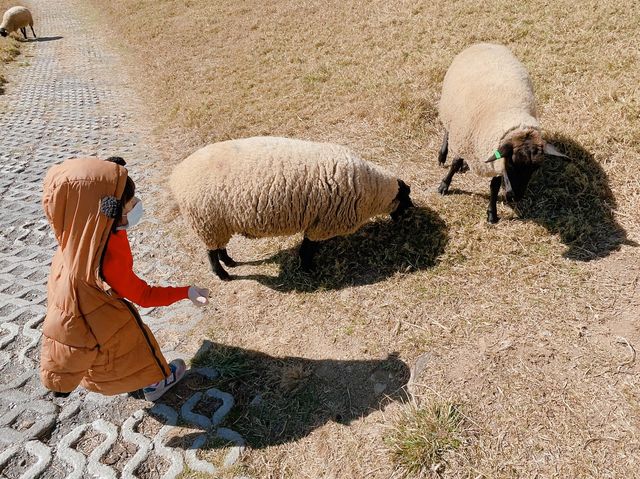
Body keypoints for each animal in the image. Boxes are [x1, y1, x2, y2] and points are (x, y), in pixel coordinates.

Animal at [169, 136, 416, 282]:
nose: (412, 214)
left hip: (218, 223)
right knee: (211, 253)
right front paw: (307, 269)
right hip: (206, 221)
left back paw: (230, 262)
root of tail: (178, 176)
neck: (370, 190)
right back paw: (223, 274)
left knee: (220, 246)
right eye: (406, 197)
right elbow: (307, 248)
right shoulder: (321, 225)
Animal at [436, 43, 564, 223]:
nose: (515, 197)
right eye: (512, 163)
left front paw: (492, 213)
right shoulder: (465, 139)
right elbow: (453, 164)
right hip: (451, 113)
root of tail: (485, 43)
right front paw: (444, 185)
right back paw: (443, 155)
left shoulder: (496, 159)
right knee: (447, 131)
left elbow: (494, 186)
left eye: (535, 169)